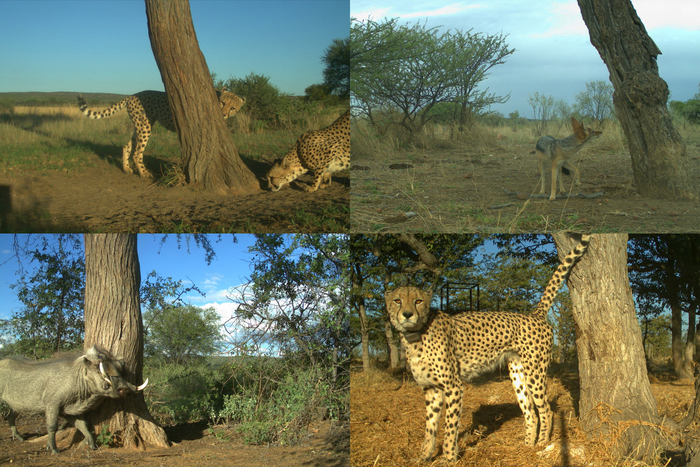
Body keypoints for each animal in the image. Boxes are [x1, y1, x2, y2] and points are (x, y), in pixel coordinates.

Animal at [77, 89, 245, 179]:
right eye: (223, 103)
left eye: (233, 108)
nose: (223, 114)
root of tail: (133, 95)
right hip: (145, 126)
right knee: (137, 152)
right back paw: (144, 173)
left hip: (141, 125)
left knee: (127, 145)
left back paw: (126, 169)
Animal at [385, 234, 591, 462]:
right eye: (397, 301)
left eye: (418, 301)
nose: (407, 314)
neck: (415, 335)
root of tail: (534, 314)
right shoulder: (431, 390)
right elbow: (429, 427)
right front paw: (424, 456)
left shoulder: (454, 387)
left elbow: (449, 427)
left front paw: (448, 458)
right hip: (517, 374)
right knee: (530, 412)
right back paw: (527, 445)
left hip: (535, 372)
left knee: (546, 409)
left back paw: (542, 443)